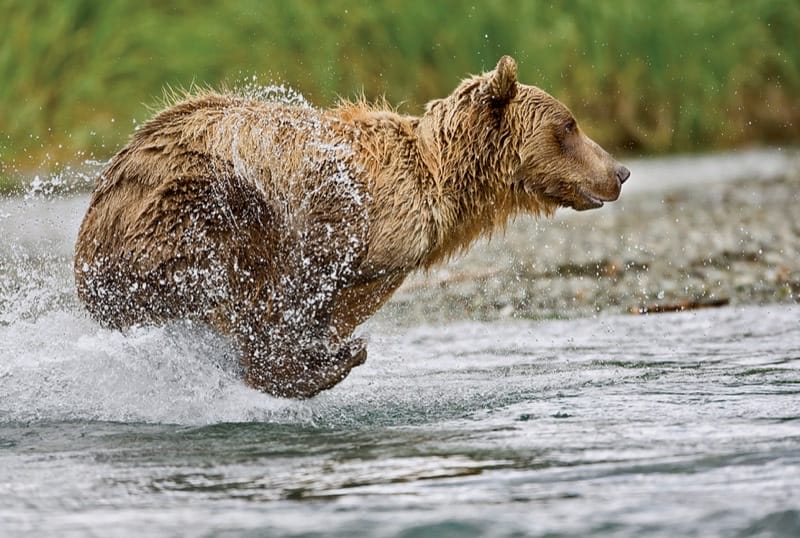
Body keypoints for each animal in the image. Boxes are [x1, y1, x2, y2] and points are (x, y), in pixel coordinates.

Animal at [74, 55, 629, 398]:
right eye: (569, 125)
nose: (620, 171)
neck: (440, 183)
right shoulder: (345, 220)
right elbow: (290, 293)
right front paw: (324, 358)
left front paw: (326, 350)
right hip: (190, 204)